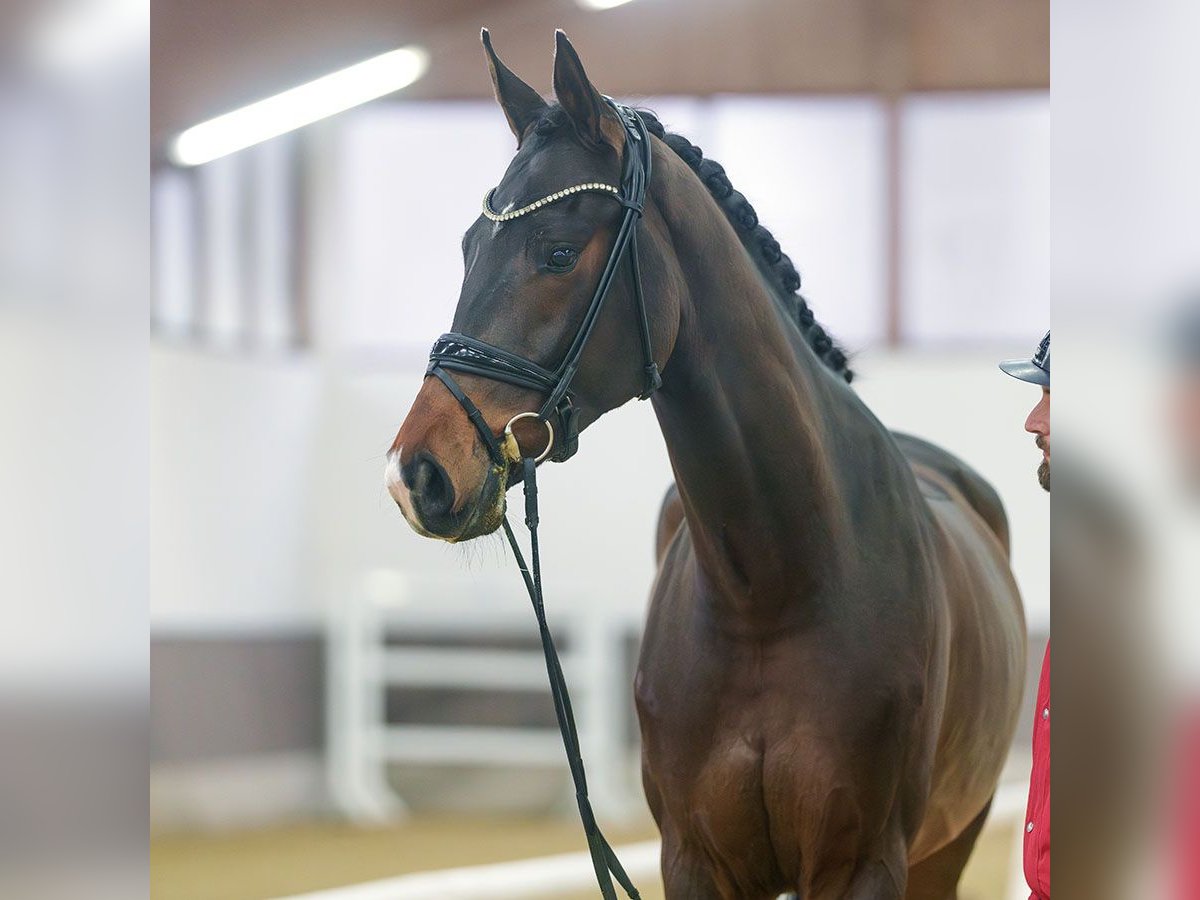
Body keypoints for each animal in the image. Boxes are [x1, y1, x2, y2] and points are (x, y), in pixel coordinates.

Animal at [388, 30, 1027, 900]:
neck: (772, 591)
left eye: (558, 251)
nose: (417, 472)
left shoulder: (862, 864)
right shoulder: (694, 859)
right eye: (466, 248)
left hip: (945, 850)